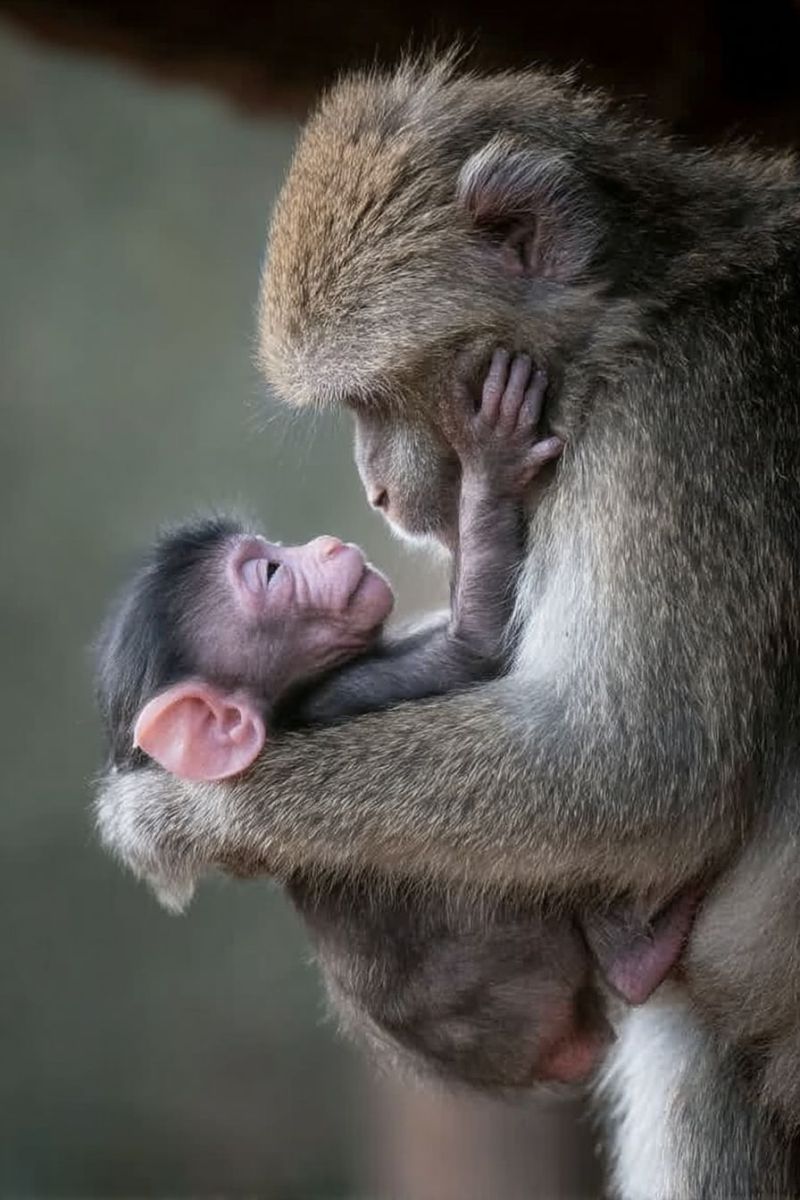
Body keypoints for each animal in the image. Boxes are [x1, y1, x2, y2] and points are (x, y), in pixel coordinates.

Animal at [95, 57, 800, 1192]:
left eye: (376, 396)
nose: (374, 495)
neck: (640, 315)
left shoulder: (673, 426)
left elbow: (640, 765)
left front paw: (191, 813)